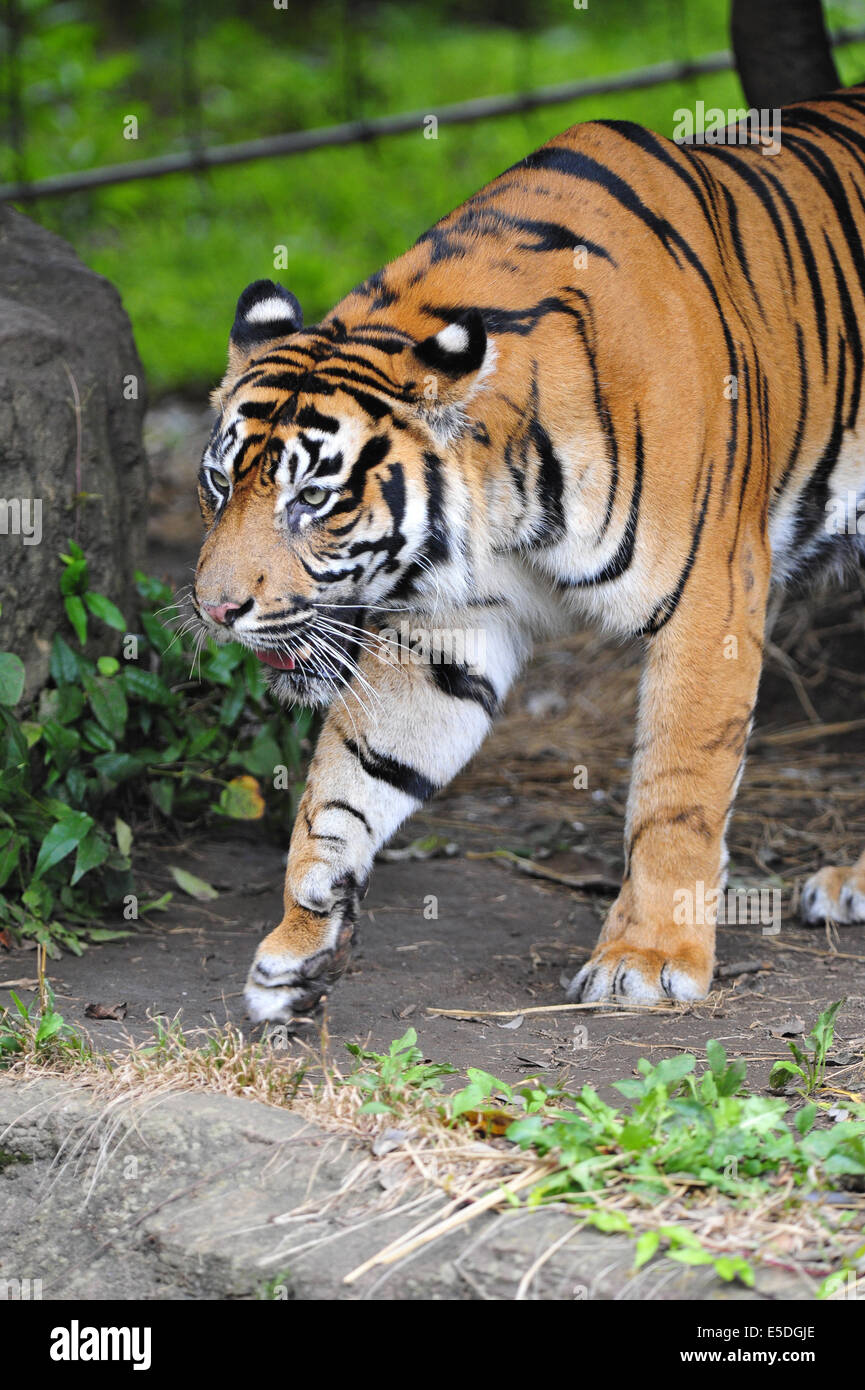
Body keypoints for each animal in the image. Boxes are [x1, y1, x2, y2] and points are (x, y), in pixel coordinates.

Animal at [193, 81, 865, 1028]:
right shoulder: (449, 626)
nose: (216, 610)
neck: (502, 496)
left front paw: (647, 959)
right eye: (219, 485)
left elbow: (677, 791)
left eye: (313, 500)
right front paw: (302, 935)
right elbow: (350, 776)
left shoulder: (710, 601)